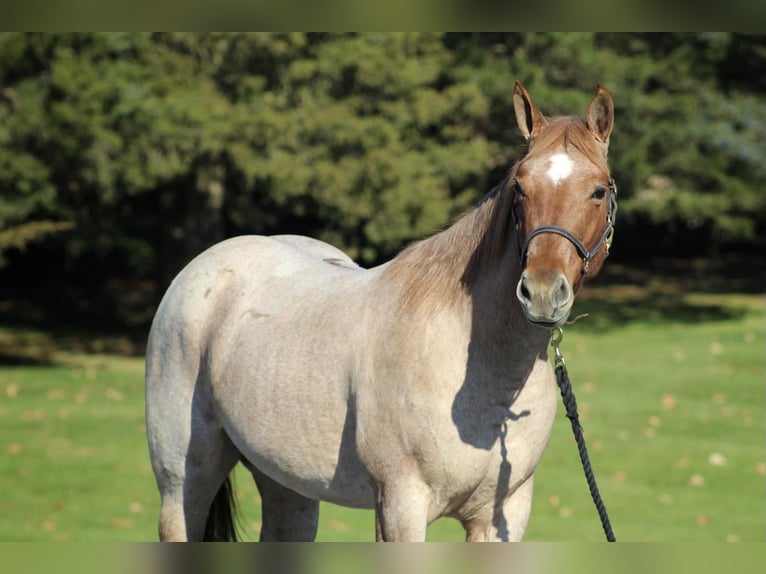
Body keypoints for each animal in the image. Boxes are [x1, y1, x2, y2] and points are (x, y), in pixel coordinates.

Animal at [146, 82, 616, 544]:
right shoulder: (399, 505)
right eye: (519, 187)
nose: (541, 293)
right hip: (183, 480)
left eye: (599, 190)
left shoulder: (503, 516)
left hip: (286, 484)